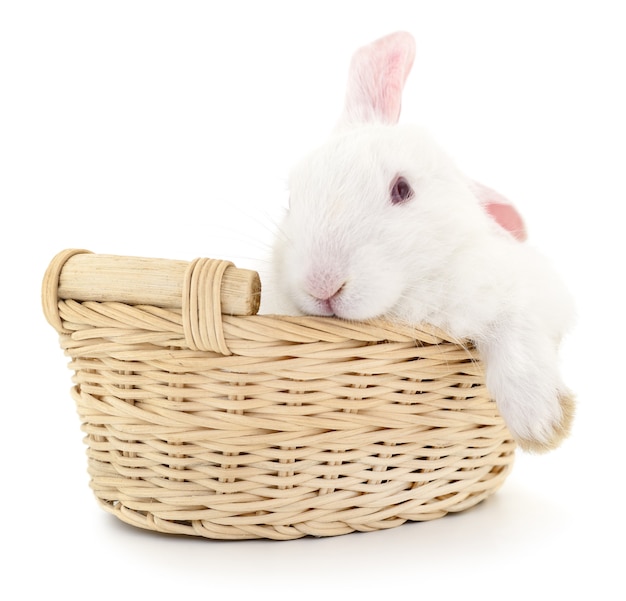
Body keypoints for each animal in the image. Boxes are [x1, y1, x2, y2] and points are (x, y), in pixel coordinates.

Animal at [266, 29, 572, 450]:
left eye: (403, 189)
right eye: (291, 200)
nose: (322, 284)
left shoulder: (524, 289)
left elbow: (516, 328)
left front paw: (540, 425)